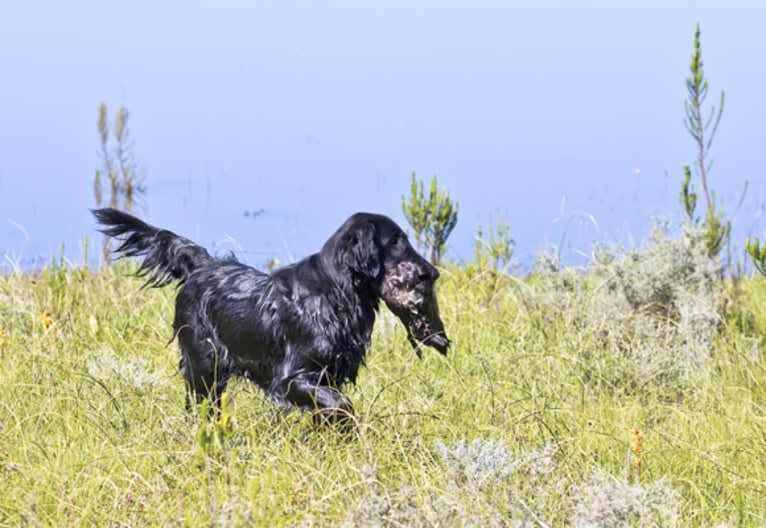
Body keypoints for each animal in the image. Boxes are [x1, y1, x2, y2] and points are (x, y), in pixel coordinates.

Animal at [93, 208, 450, 418]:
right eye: (396, 241)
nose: (431, 273)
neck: (335, 293)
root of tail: (203, 265)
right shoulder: (291, 377)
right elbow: (339, 403)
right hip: (203, 364)